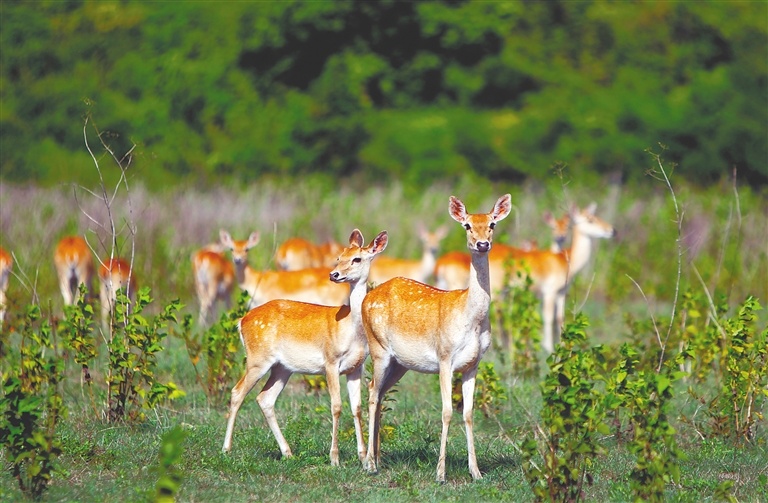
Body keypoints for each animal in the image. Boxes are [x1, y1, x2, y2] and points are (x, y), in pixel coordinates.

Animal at [224, 230, 390, 466]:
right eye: (338, 257)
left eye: (356, 259)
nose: (334, 274)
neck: (351, 330)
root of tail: (242, 321)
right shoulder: (330, 360)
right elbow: (336, 406)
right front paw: (334, 458)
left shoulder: (355, 367)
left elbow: (356, 408)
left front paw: (361, 456)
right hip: (257, 358)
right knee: (237, 392)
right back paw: (226, 449)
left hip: (282, 368)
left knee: (265, 398)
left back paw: (288, 452)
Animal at [360, 194, 510, 484]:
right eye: (467, 225)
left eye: (492, 224)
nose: (482, 244)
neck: (471, 318)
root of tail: (366, 298)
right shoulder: (444, 357)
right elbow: (447, 411)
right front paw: (441, 473)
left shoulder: (473, 364)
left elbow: (468, 413)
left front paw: (476, 472)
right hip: (378, 347)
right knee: (372, 391)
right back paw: (369, 464)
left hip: (400, 363)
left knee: (379, 391)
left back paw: (378, 459)